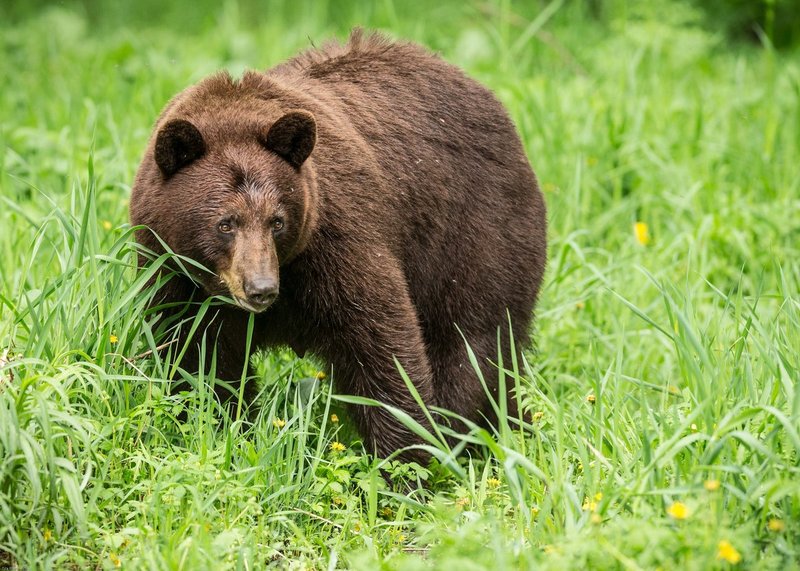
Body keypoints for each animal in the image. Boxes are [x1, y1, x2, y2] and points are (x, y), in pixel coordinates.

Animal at [130, 30, 547, 462]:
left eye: (277, 221)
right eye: (225, 223)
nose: (261, 288)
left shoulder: (336, 241)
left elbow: (380, 342)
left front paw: (404, 458)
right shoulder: (175, 275)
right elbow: (197, 357)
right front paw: (219, 425)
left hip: (476, 238)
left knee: (473, 345)